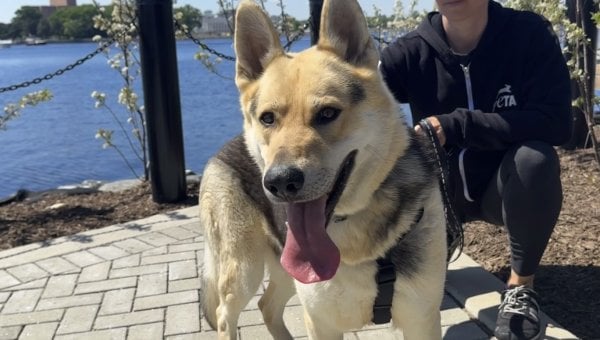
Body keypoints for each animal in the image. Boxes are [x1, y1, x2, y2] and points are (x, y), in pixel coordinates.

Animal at [199, 0, 448, 338]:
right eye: (267, 119)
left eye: (328, 113)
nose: (280, 182)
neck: (352, 227)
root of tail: (222, 149)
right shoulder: (320, 320)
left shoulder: (421, 319)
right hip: (244, 269)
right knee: (226, 315)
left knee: (266, 305)